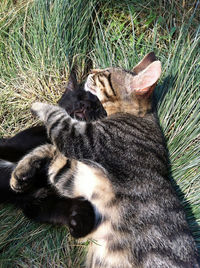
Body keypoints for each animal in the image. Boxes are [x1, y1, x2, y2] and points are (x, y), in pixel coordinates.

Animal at [10, 51, 199, 266]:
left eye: (105, 74)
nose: (92, 70)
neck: (140, 116)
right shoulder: (78, 179)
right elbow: (49, 150)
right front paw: (20, 173)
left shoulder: (83, 139)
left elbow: (57, 120)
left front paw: (37, 104)